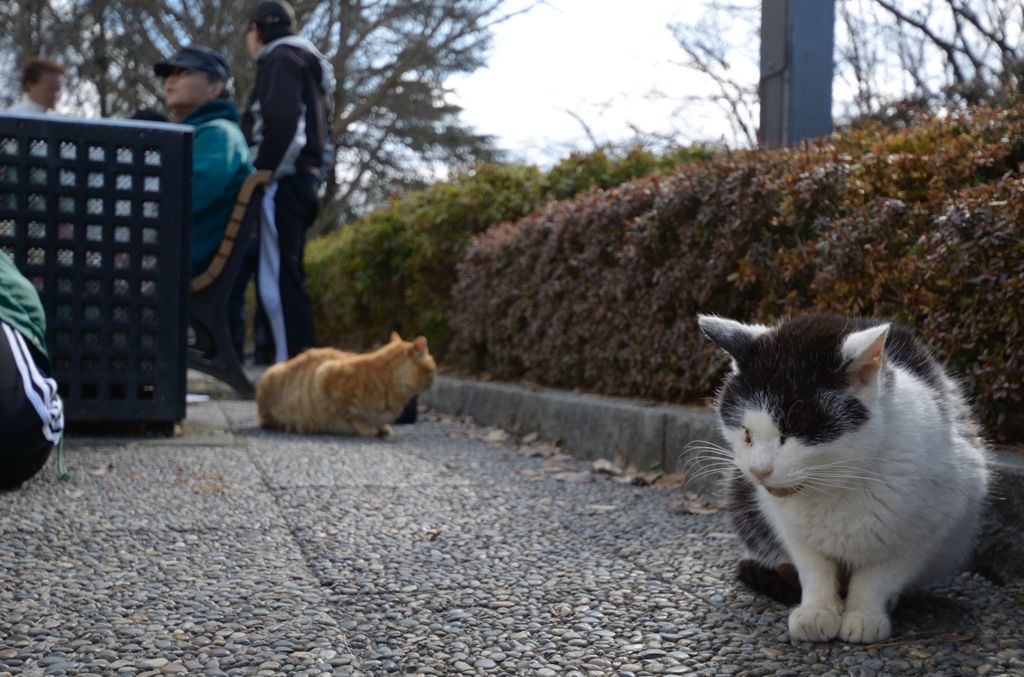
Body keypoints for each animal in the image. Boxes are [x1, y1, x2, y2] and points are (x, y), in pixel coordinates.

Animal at [256, 331, 436, 436]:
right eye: (432, 369)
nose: (433, 381)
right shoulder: (324, 374)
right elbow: (352, 415)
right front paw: (367, 427)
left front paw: (382, 427)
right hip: (270, 377)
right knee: (266, 420)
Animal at [700, 313, 987, 643]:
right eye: (746, 433)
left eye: (793, 433)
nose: (760, 470)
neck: (837, 486)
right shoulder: (789, 526)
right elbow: (814, 568)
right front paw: (817, 611)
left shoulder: (928, 529)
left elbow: (878, 577)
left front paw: (864, 616)